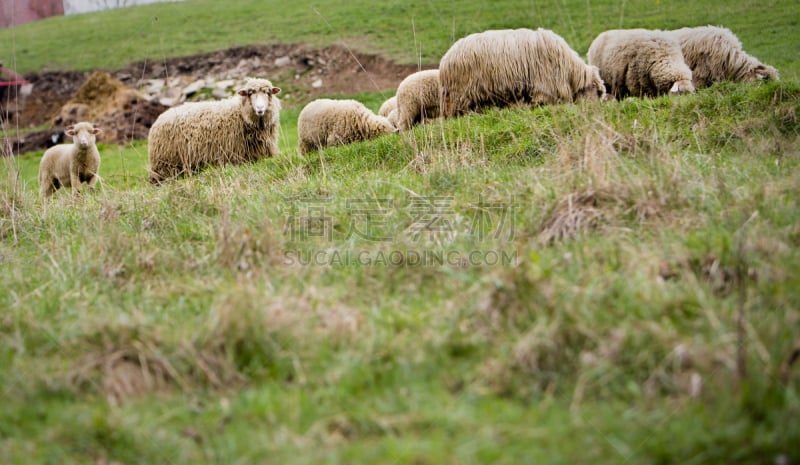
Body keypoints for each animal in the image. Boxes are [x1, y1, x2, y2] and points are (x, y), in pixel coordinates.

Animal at [148, 77, 282, 183]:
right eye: (250, 93)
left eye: (268, 93)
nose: (260, 108)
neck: (241, 114)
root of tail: (158, 119)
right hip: (166, 164)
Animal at [440, 27, 604, 117]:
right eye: (595, 89)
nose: (595, 110)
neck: (569, 70)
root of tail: (446, 58)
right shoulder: (545, 87)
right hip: (460, 93)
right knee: (455, 112)